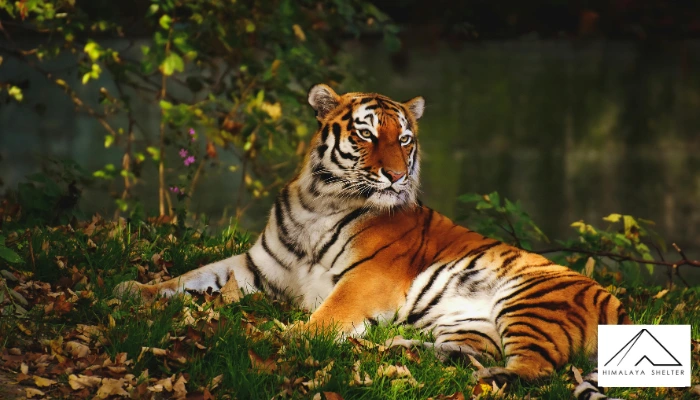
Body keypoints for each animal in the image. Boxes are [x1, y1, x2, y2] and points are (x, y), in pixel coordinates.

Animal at [115, 84, 629, 397]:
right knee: (469, 352)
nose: (397, 176)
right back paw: (400, 348)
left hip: (530, 301)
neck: (318, 203)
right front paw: (133, 289)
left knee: (536, 371)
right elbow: (191, 276)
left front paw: (286, 335)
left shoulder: (367, 279)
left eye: (404, 139)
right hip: (469, 321)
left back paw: (493, 375)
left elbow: (328, 314)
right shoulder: (255, 266)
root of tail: (615, 300)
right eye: (365, 134)